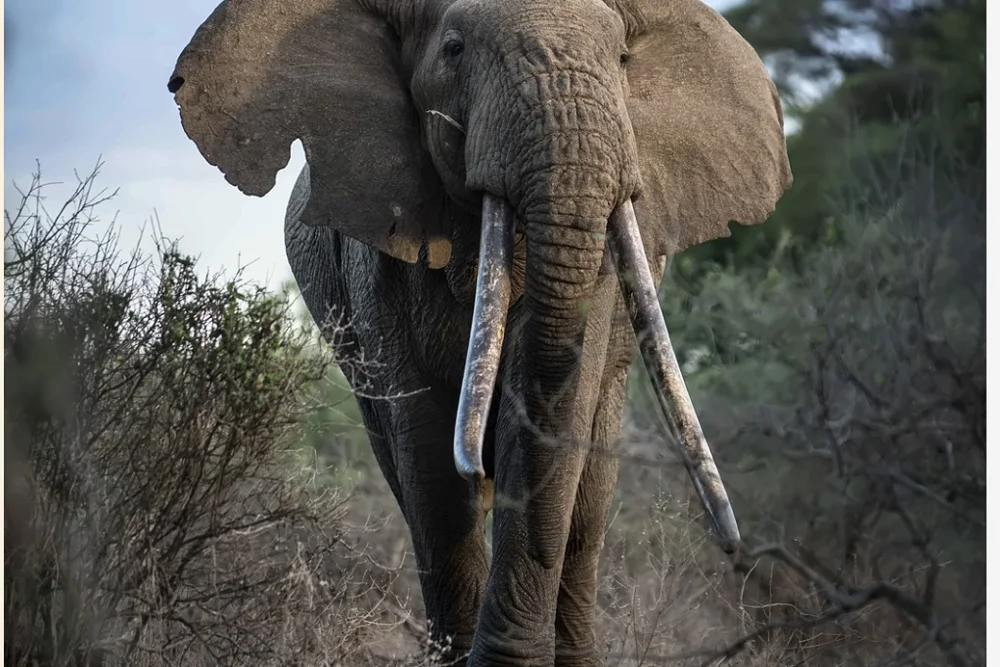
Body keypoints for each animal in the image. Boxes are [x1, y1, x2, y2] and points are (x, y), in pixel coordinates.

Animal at [167, 0, 791, 664]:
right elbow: (428, 450)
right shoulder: (379, 245)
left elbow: (554, 416)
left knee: (590, 506)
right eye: (455, 49)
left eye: (622, 58)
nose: (734, 549)